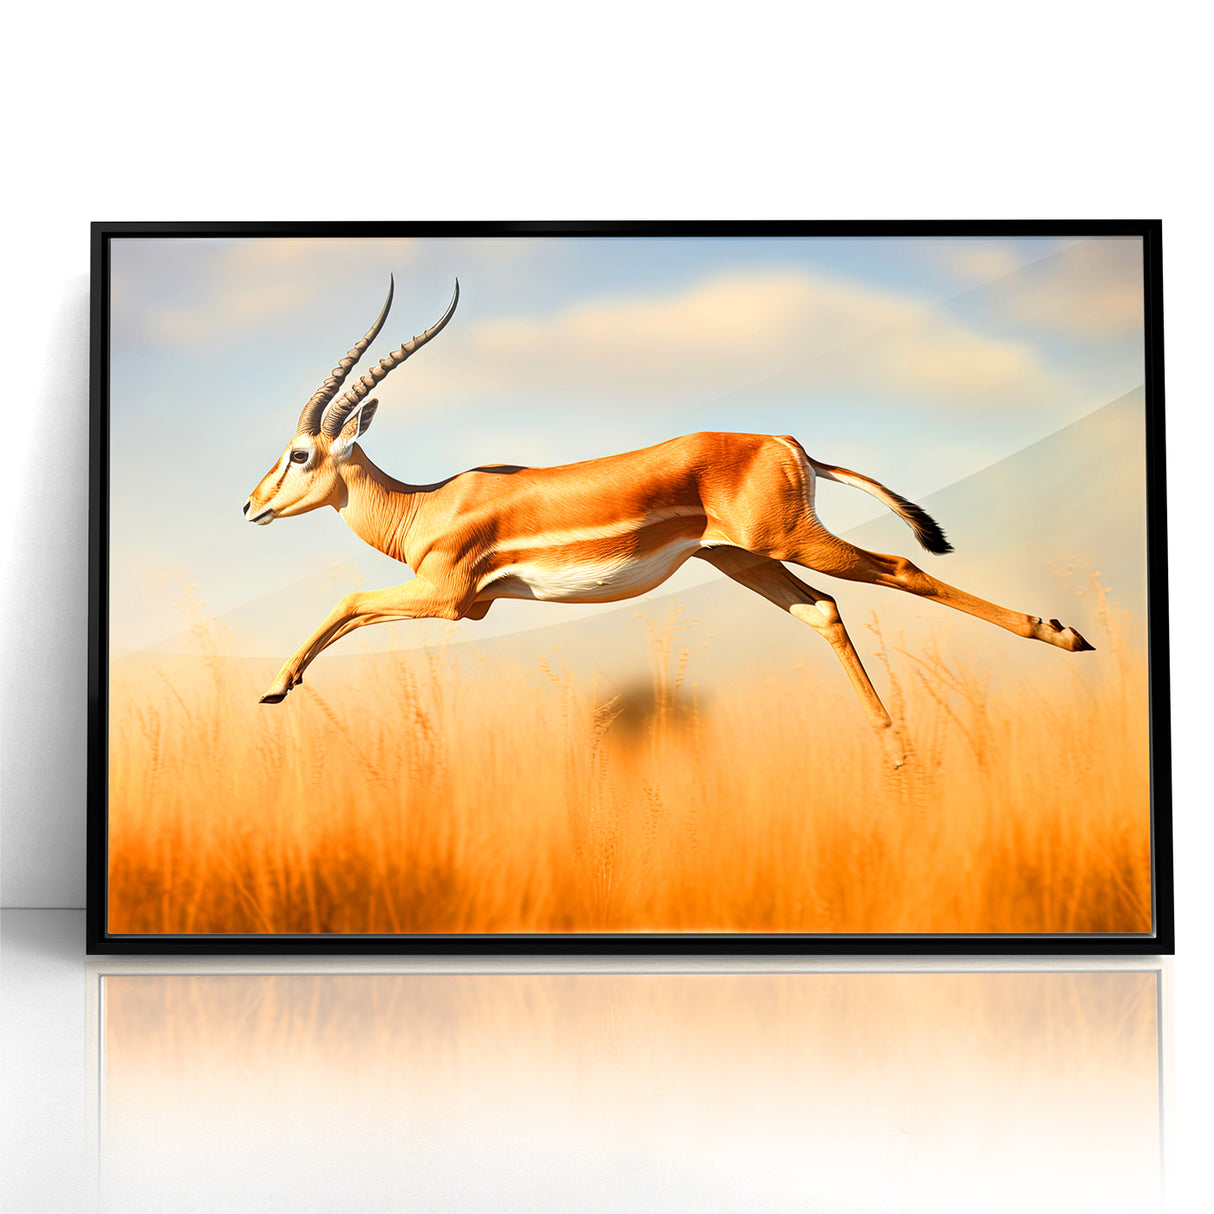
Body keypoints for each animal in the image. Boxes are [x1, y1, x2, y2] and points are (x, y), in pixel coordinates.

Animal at [244, 278, 1094, 765]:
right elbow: (354, 611)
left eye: (298, 453)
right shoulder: (458, 603)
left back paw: (1063, 635)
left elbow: (349, 601)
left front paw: (276, 687)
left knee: (902, 568)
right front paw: (282, 686)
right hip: (741, 560)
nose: (251, 504)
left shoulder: (452, 598)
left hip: (789, 541)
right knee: (823, 611)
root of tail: (787, 442)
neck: (424, 504)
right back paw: (896, 750)